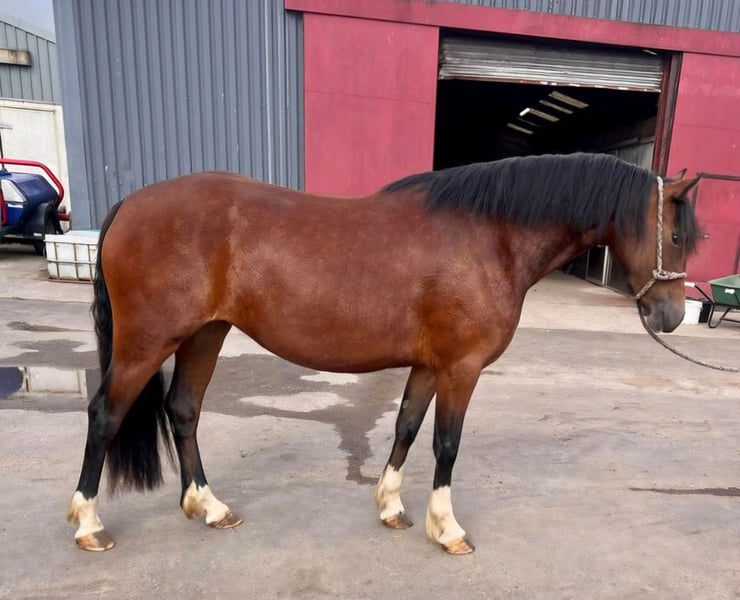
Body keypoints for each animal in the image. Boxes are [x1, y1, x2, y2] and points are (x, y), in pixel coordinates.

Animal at [67, 153, 701, 554]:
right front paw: (447, 530)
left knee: (183, 411)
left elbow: (406, 428)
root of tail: (131, 205)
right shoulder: (461, 369)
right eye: (676, 236)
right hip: (149, 342)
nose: (671, 316)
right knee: (105, 415)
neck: (491, 236)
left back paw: (209, 507)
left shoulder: (428, 365)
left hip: (206, 334)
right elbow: (447, 444)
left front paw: (391, 508)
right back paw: (88, 524)